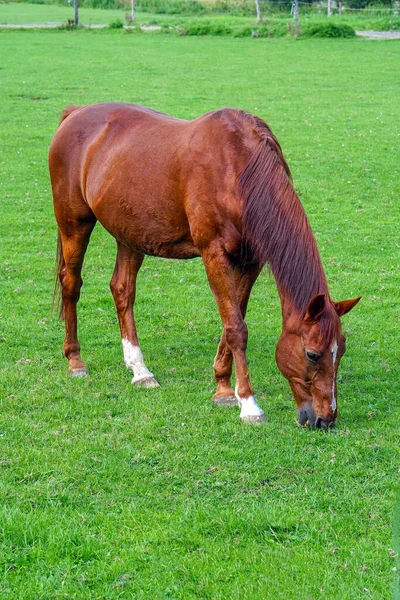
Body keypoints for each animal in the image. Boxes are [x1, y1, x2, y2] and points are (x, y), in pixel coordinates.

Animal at [48, 104, 360, 432]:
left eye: (341, 350)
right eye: (312, 354)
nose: (325, 419)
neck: (237, 171)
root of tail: (76, 112)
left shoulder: (250, 261)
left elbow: (234, 319)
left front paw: (223, 388)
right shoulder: (214, 254)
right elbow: (236, 328)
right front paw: (249, 405)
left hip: (130, 234)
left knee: (122, 290)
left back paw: (140, 370)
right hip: (74, 222)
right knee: (72, 284)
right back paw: (75, 360)